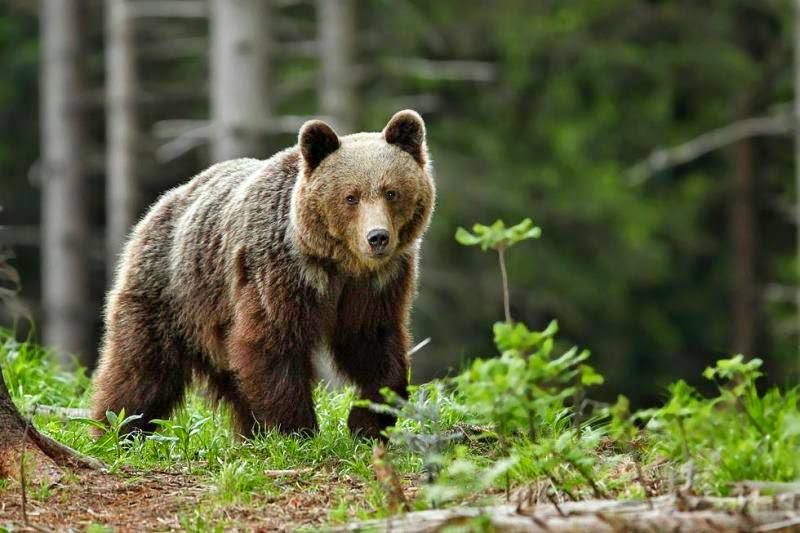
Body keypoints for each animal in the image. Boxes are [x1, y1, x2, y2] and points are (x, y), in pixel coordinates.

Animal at [90, 110, 434, 438]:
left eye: (391, 192)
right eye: (351, 196)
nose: (377, 237)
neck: (338, 264)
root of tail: (163, 203)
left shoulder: (378, 284)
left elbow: (375, 344)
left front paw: (368, 421)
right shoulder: (280, 270)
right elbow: (273, 343)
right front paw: (297, 429)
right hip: (172, 291)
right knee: (142, 369)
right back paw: (117, 430)